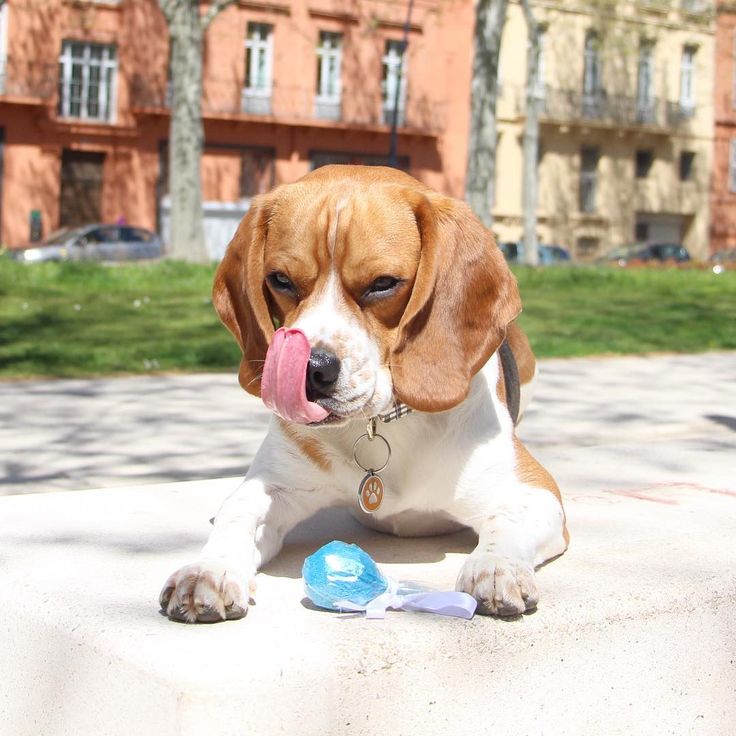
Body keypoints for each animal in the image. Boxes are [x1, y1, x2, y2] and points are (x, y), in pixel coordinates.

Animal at [161, 165, 568, 620]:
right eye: (280, 280)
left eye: (383, 284)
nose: (311, 370)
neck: (380, 424)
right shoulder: (273, 484)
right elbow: (236, 513)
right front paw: (209, 570)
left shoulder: (537, 491)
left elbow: (507, 520)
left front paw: (496, 565)